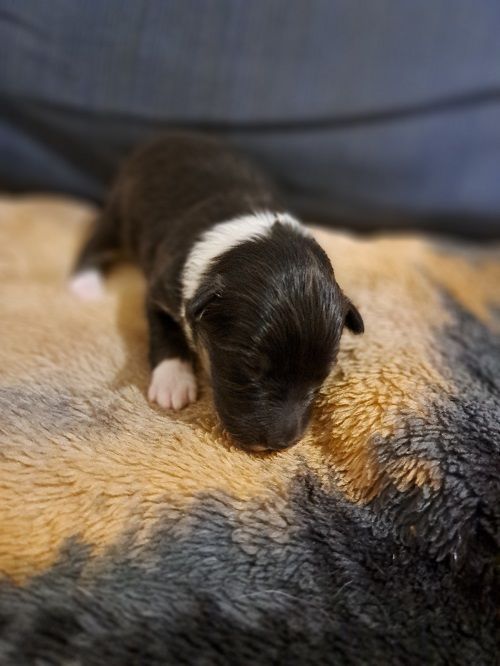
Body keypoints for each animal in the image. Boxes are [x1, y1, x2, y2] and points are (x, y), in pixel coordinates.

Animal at [70, 130, 362, 452]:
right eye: (250, 368)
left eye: (323, 374)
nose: (280, 443)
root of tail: (168, 137)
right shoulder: (160, 290)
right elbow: (165, 332)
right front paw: (172, 381)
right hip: (121, 209)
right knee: (97, 240)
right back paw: (84, 284)